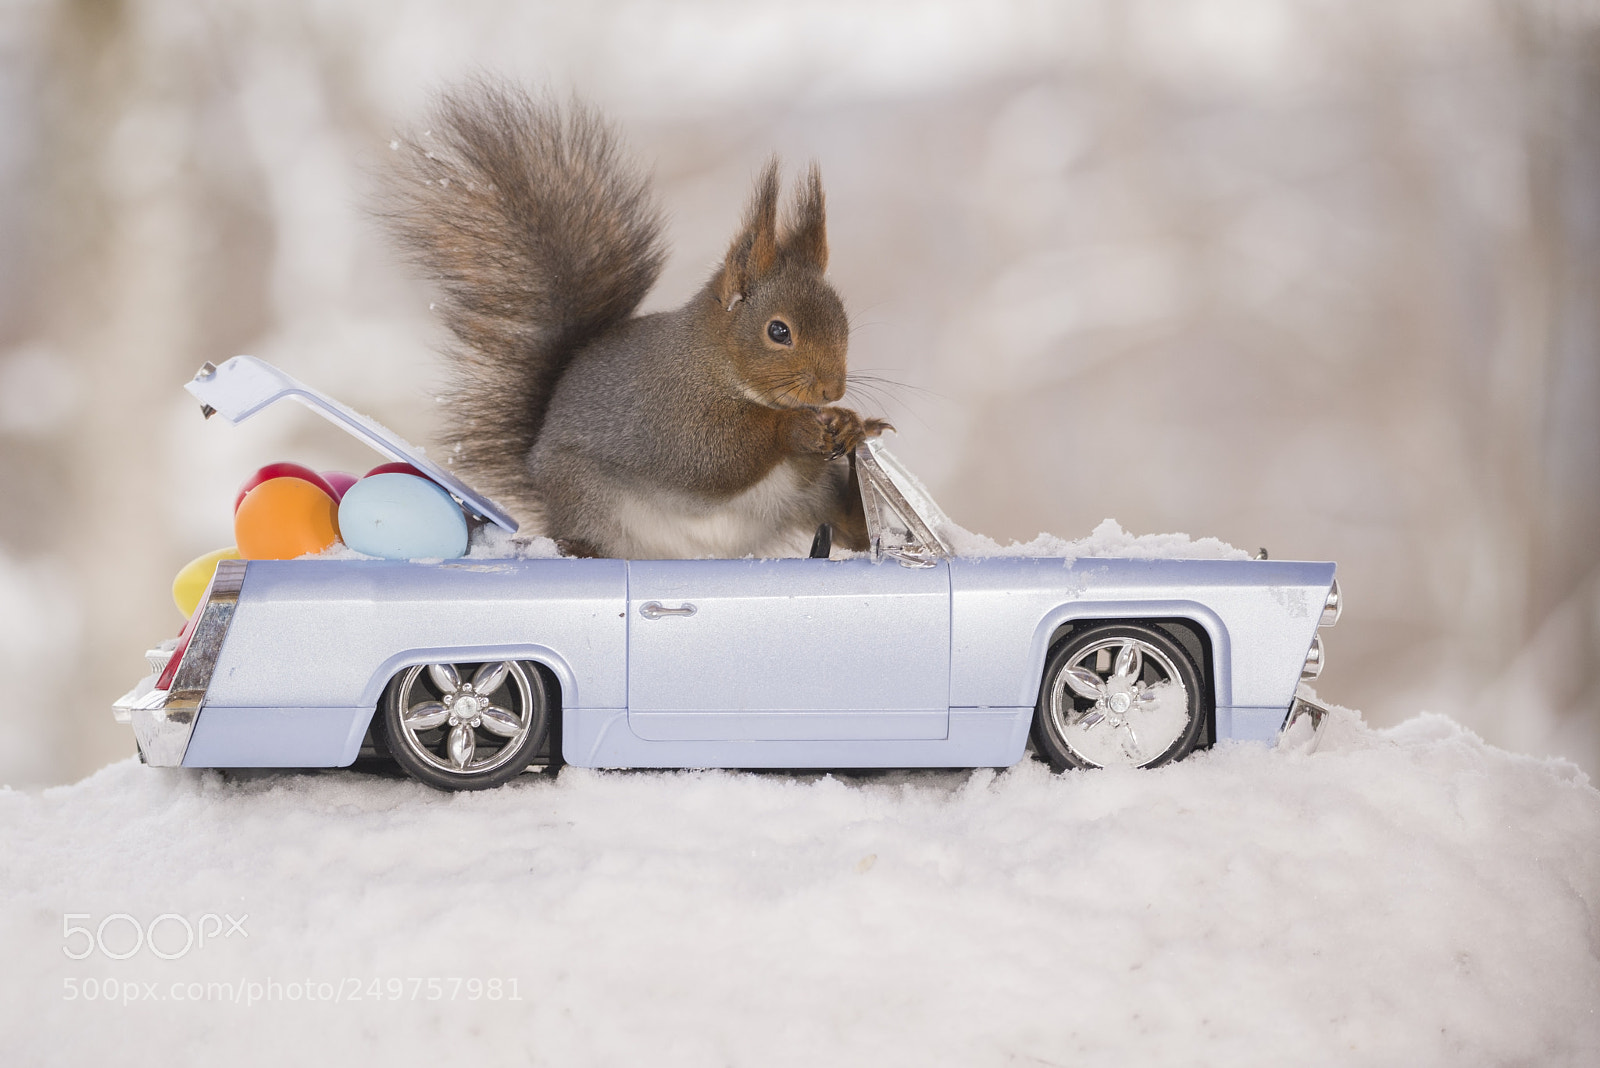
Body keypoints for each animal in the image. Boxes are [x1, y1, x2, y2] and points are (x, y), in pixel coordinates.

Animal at [381, 81, 891, 559]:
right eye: (778, 331)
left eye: (843, 321)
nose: (831, 390)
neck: (715, 362)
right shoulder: (666, 412)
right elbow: (713, 458)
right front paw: (796, 429)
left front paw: (847, 421)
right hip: (586, 497)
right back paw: (581, 547)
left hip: (807, 496)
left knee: (844, 527)